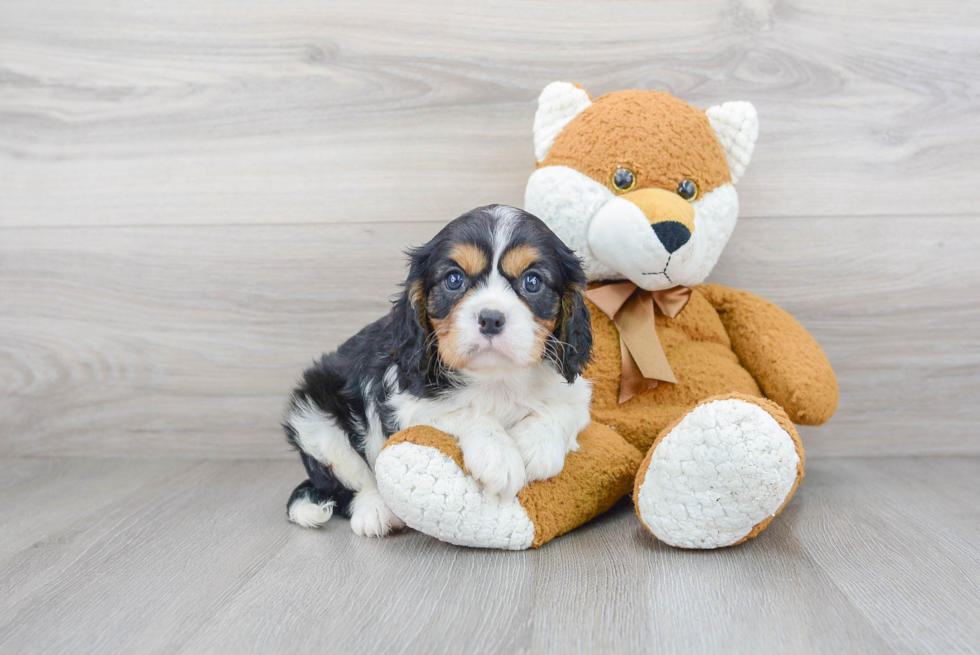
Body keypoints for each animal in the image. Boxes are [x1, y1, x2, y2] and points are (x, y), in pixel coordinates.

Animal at [282, 205, 588, 540]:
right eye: (454, 279)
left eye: (532, 282)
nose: (491, 318)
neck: (496, 377)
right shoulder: (407, 403)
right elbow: (467, 410)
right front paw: (499, 454)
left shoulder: (576, 393)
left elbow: (563, 410)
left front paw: (536, 447)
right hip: (314, 417)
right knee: (354, 480)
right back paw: (374, 511)